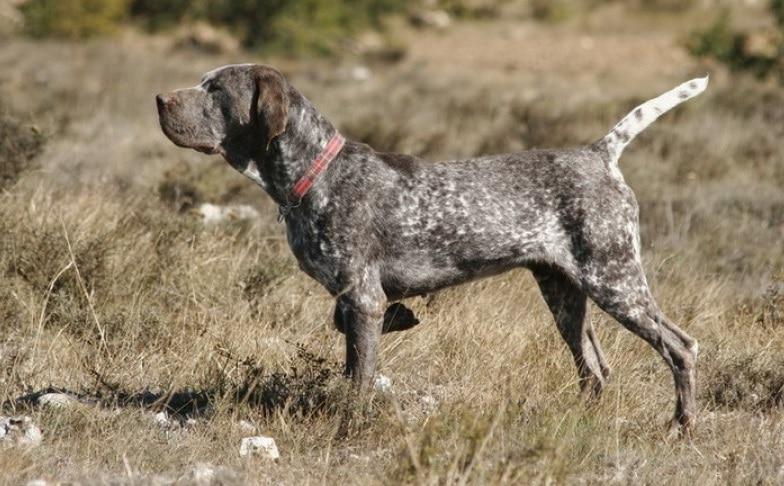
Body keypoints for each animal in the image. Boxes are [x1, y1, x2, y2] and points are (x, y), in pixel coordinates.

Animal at [156, 64, 708, 436]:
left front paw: (349, 427)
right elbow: (352, 359)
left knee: (680, 347)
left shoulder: (363, 300)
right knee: (594, 367)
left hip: (615, 281)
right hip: (563, 291)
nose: (160, 98)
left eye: (215, 89)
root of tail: (599, 154)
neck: (316, 174)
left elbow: (360, 380)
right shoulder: (353, 302)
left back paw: (681, 426)